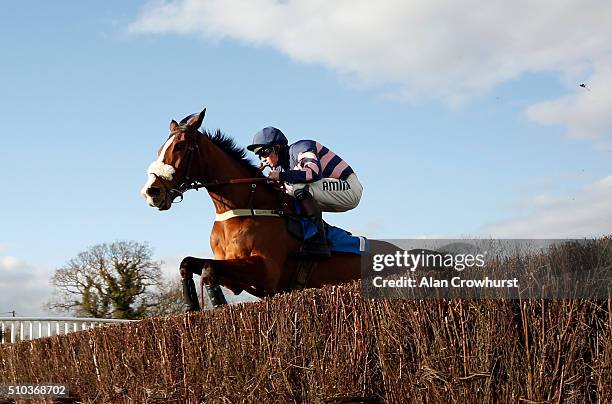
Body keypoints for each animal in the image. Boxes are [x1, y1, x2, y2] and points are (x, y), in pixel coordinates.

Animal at [142, 109, 378, 310]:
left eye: (179, 146)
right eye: (159, 150)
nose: (151, 191)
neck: (245, 208)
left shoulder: (266, 271)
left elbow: (209, 269)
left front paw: (218, 302)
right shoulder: (235, 278)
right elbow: (189, 263)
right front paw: (191, 304)